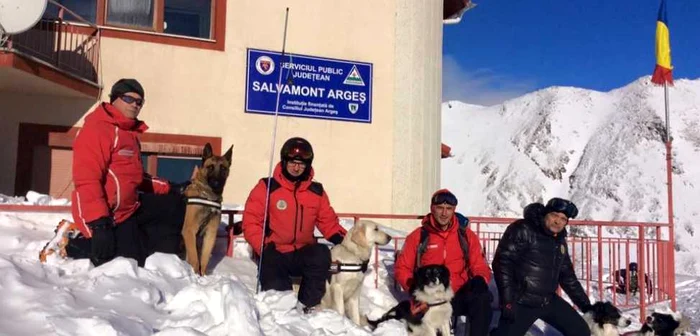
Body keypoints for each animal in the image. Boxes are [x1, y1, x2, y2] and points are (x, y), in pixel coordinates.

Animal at [182, 142, 234, 276]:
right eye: (210, 167)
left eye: (223, 168)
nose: (216, 183)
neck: (208, 197)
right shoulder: (189, 230)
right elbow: (195, 259)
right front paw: (195, 276)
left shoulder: (210, 233)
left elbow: (204, 259)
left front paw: (203, 276)